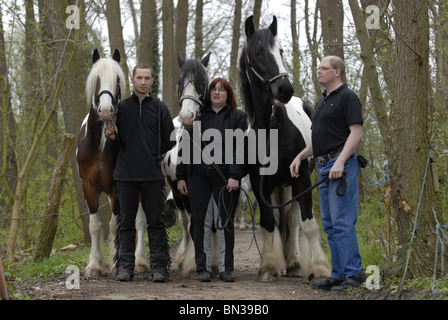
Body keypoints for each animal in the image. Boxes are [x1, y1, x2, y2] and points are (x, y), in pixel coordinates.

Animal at [240, 15, 330, 280]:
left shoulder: (301, 178)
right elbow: (269, 224)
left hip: (293, 183)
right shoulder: (259, 183)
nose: (284, 90)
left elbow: (308, 224)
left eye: (280, 51)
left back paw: (295, 262)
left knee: (294, 219)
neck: (271, 129)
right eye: (258, 52)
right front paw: (269, 266)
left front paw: (319, 269)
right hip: (278, 185)